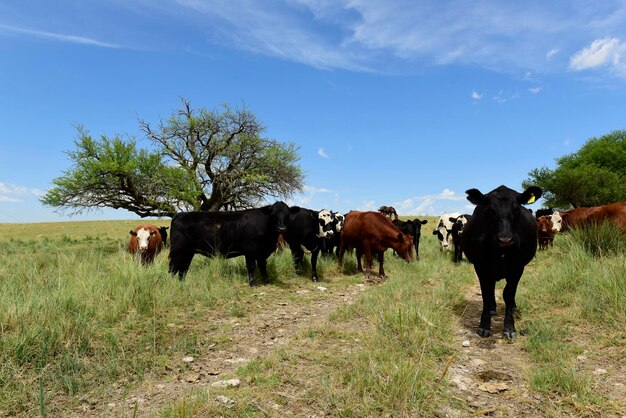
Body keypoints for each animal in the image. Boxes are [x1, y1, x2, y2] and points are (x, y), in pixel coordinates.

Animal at [460, 186, 540, 340]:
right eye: (491, 210)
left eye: (517, 209)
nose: (505, 239)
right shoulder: (481, 267)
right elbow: (486, 293)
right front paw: (484, 325)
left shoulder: (518, 267)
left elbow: (508, 293)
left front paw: (509, 327)